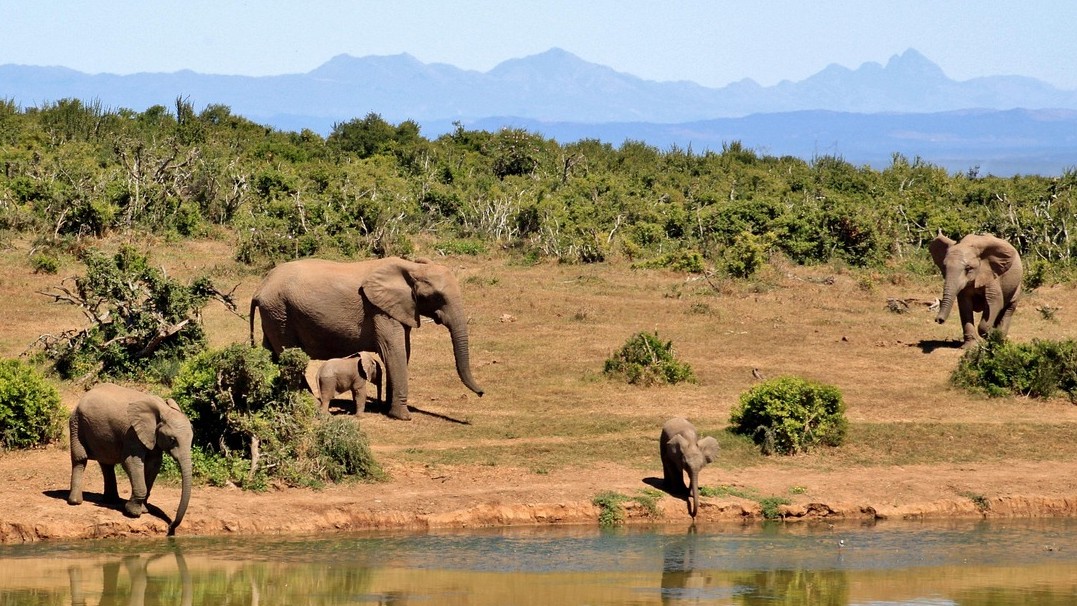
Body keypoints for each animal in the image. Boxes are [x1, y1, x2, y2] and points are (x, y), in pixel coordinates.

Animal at [68, 383, 193, 535]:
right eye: (172, 439)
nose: (171, 527)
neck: (163, 409)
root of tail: (84, 396)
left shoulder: (152, 436)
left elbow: (154, 465)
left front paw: (144, 510)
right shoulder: (132, 433)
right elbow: (131, 462)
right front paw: (133, 513)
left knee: (106, 463)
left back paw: (111, 501)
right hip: (76, 423)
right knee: (80, 459)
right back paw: (75, 502)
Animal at [250, 256, 484, 421]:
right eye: (437, 297)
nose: (482, 393)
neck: (411, 267)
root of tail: (260, 288)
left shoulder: (399, 309)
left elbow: (403, 352)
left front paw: (389, 409)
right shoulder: (380, 310)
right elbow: (394, 351)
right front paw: (402, 416)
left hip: (274, 315)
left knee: (272, 353)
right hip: (280, 311)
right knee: (289, 355)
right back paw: (309, 402)